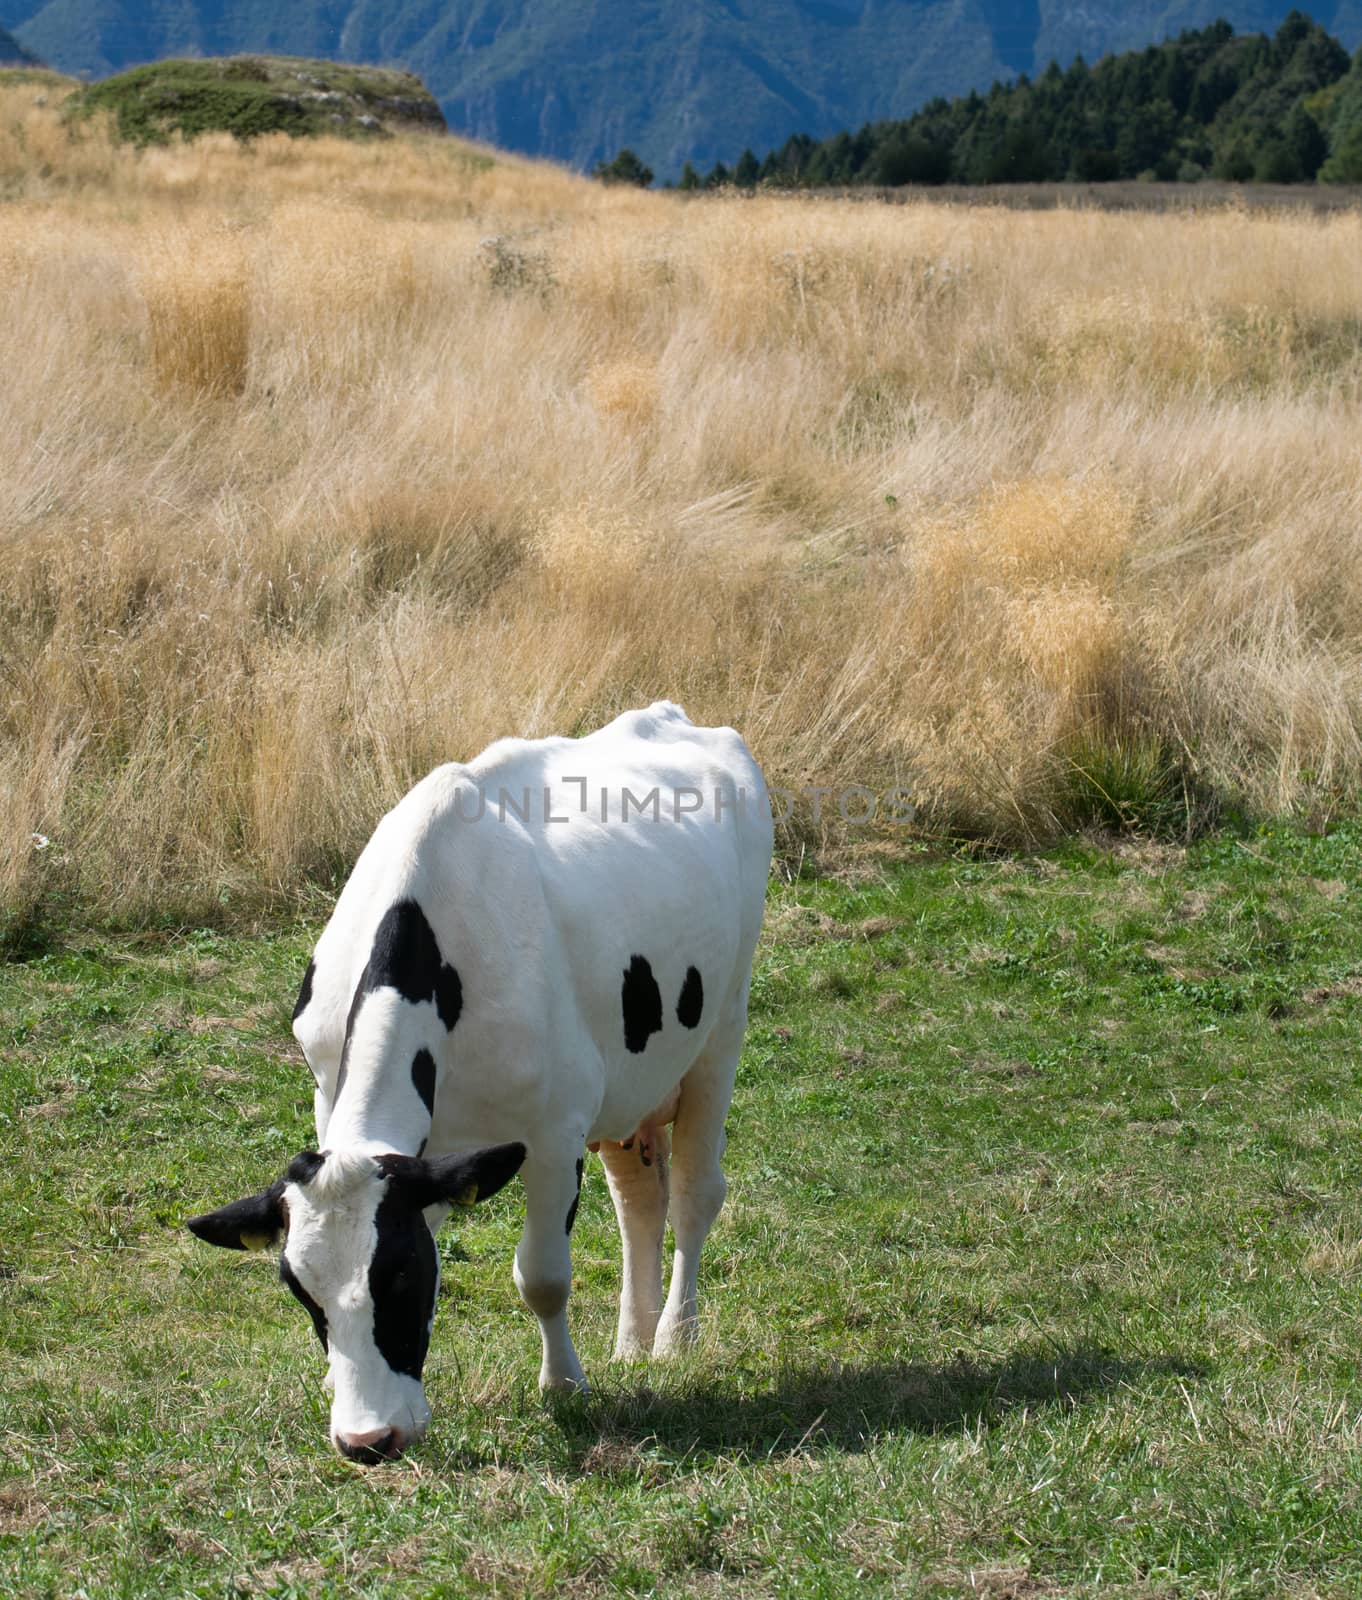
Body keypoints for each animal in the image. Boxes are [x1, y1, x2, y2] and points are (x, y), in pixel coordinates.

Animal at [186, 700, 771, 1465]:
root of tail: (672, 714)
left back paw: (674, 1340)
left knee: (697, 1195)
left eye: (403, 1275)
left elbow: (543, 1275)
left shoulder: (554, 1131)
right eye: (302, 1291)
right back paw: (631, 1343)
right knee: (639, 1200)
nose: (367, 1439)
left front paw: (564, 1385)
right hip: (628, 1080)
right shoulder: (357, 1114)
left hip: (721, 1030)